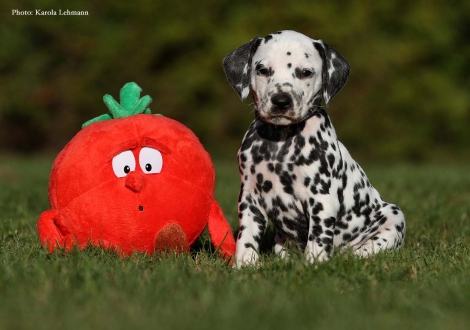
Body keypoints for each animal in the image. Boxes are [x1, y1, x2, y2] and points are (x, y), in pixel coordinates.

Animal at [223, 30, 404, 268]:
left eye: (305, 73)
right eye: (262, 70)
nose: (281, 101)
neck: (280, 143)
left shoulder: (322, 200)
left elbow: (318, 239)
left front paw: (314, 266)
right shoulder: (250, 198)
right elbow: (247, 237)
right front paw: (245, 265)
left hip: (394, 217)